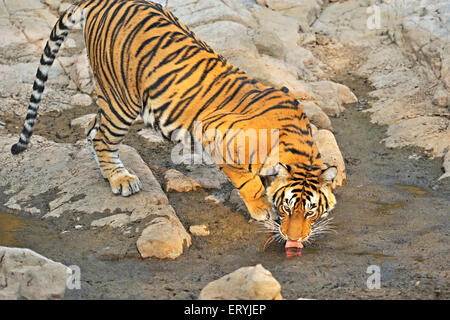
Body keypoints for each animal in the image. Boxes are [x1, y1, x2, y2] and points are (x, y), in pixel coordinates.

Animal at [10, 0, 338, 245]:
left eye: (310, 212)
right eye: (288, 208)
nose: (295, 239)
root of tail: (101, 1)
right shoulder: (212, 131)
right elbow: (249, 181)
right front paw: (261, 209)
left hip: (111, 97)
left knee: (92, 130)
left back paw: (111, 173)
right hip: (123, 99)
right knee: (102, 137)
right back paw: (121, 180)